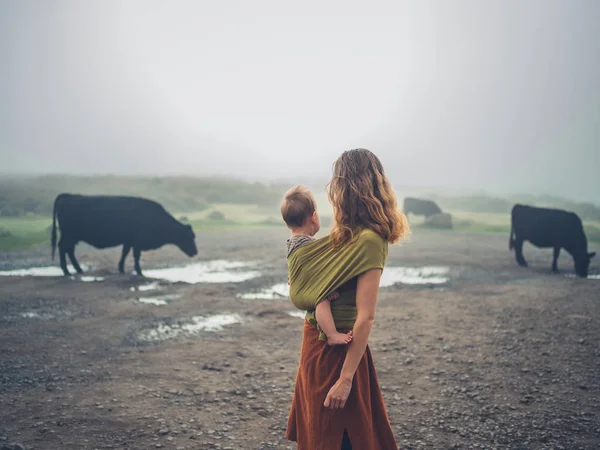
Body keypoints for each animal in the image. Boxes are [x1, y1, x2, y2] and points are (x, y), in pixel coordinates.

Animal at [51, 194, 197, 276]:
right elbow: (136, 256)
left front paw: (121, 268)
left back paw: (78, 269)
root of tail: (68, 196)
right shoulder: (137, 243)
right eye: (189, 237)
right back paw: (66, 271)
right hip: (69, 236)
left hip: (73, 237)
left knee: (69, 250)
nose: (195, 252)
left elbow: (125, 253)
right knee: (63, 248)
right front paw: (139, 271)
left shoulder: (129, 241)